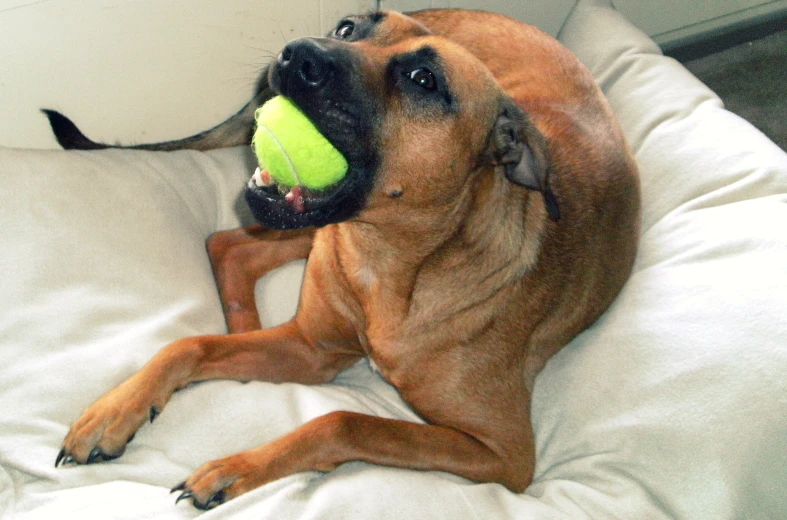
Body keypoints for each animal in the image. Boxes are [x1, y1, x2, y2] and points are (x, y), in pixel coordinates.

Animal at [50, 9, 640, 512]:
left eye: (424, 78)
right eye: (348, 27)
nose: (296, 54)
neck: (385, 267)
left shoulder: (502, 453)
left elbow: (344, 422)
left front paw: (237, 468)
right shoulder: (311, 344)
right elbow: (188, 344)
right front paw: (112, 412)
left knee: (230, 246)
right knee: (227, 245)